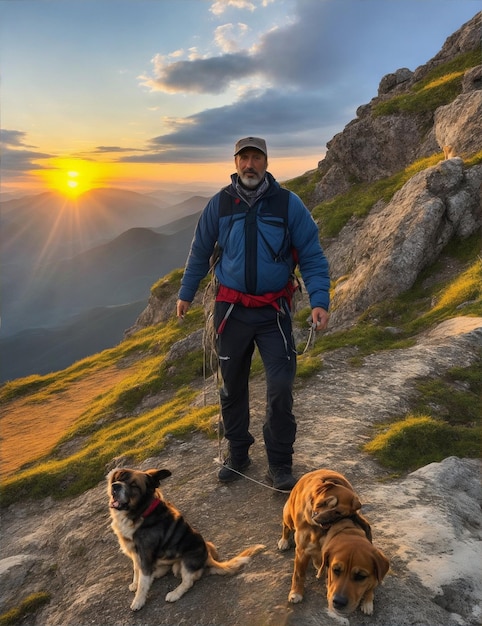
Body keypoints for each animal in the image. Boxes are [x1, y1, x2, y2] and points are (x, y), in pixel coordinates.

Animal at [108, 466, 266, 608]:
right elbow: (137, 570)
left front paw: (138, 601)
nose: (115, 486)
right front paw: (135, 583)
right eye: (118, 478)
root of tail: (208, 556)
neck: (140, 513)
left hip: (186, 561)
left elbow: (143, 581)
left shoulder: (145, 553)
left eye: (134, 485)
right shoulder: (135, 552)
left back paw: (174, 593)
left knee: (189, 580)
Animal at [274, 468, 372, 604]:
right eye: (325, 502)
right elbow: (299, 574)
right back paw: (284, 541)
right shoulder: (302, 549)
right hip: (288, 517)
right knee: (286, 527)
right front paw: (296, 593)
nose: (318, 518)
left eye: (338, 513)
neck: (317, 529)